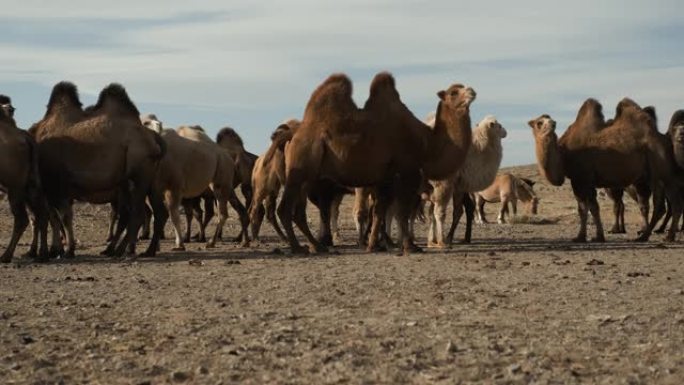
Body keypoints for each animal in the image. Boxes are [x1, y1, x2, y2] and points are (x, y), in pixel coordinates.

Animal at [0, 95, 48, 262]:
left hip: (15, 185)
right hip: (30, 184)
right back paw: (41, 254)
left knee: (22, 219)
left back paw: (6, 255)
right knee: (40, 214)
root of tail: (26, 137)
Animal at [278, 72, 476, 254]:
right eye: (454, 92)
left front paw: (374, 245)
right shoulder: (406, 171)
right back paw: (299, 247)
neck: (425, 144)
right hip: (299, 169)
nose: (472, 91)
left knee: (299, 212)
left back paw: (317, 246)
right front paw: (409, 247)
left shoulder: (385, 178)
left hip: (309, 177)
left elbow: (379, 212)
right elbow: (401, 212)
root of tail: (293, 135)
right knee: (285, 208)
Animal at [532, 97, 680, 242]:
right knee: (664, 205)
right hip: (654, 176)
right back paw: (654, 235)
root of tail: (666, 139)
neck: (564, 155)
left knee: (668, 204)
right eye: (539, 122)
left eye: (551, 120)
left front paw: (581, 237)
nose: (553, 124)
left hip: (661, 172)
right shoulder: (588, 181)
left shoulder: (580, 179)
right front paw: (598, 236)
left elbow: (584, 209)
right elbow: (593, 207)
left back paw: (655, 236)